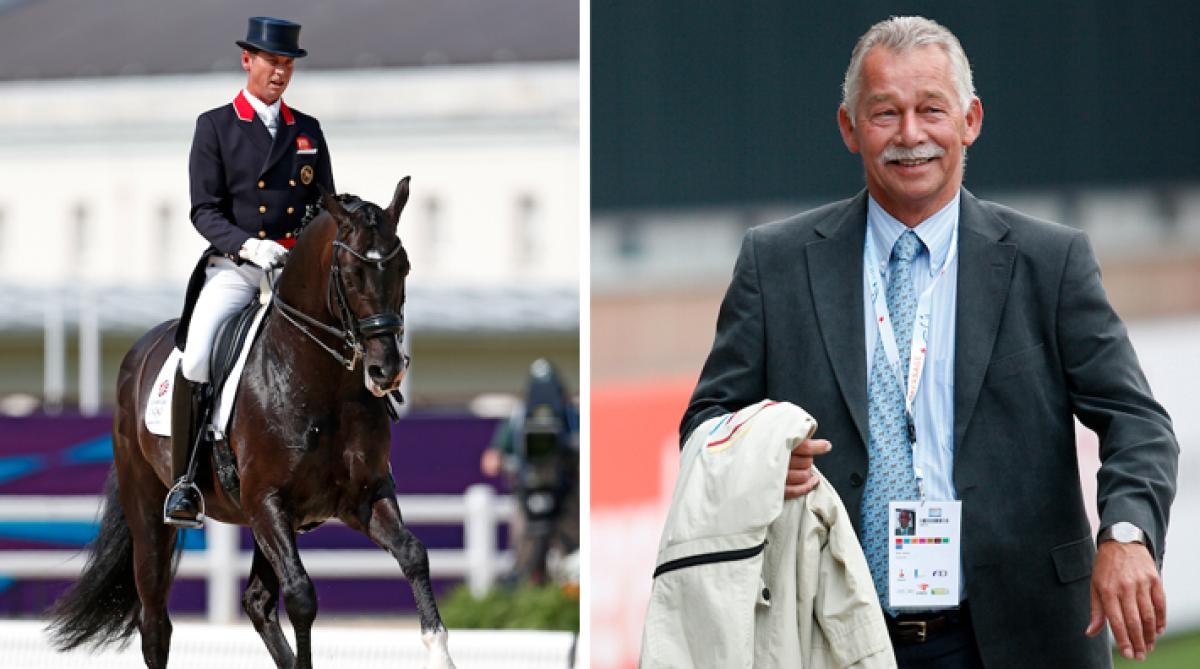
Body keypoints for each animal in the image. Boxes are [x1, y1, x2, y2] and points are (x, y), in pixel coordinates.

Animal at [49, 178, 456, 669]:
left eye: (404, 268)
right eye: (351, 274)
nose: (387, 370)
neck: (323, 383)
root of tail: (140, 352)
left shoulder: (361, 496)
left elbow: (413, 554)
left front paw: (441, 653)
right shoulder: (267, 501)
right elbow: (301, 596)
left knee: (257, 602)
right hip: (149, 510)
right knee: (155, 620)